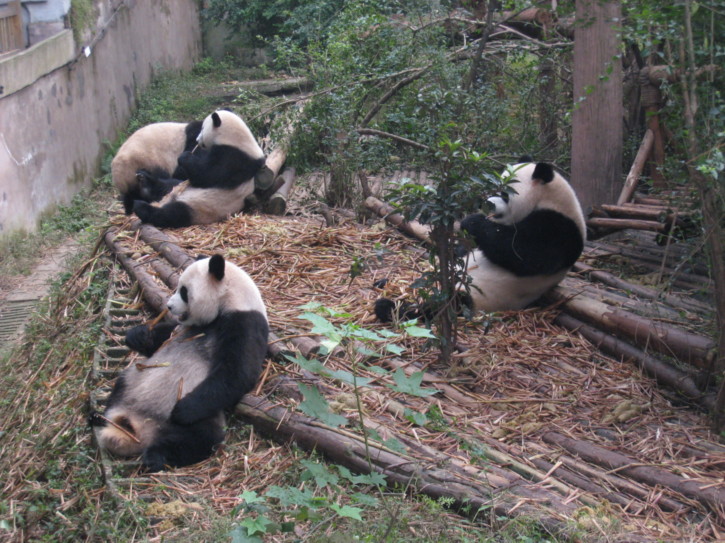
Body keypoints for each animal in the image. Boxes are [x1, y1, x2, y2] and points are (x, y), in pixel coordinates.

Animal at [89, 254, 269, 471]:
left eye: (184, 291)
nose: (168, 306)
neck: (230, 300)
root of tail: (139, 429)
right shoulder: (187, 326)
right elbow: (165, 335)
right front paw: (138, 335)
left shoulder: (244, 322)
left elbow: (238, 373)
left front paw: (181, 410)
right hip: (131, 381)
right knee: (120, 385)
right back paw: (98, 418)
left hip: (199, 418)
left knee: (201, 437)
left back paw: (157, 455)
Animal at [132, 110, 266, 228]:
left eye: (202, 129)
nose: (197, 140)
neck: (237, 139)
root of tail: (173, 198)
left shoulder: (236, 159)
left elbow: (208, 175)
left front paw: (185, 156)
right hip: (178, 189)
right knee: (167, 185)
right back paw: (145, 182)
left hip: (198, 209)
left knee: (173, 214)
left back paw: (141, 207)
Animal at [375, 161, 586, 320]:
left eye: (504, 194)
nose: (488, 203)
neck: (550, 199)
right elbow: (467, 249)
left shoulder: (560, 230)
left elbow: (525, 256)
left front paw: (472, 221)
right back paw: (383, 283)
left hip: (474, 295)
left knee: (444, 306)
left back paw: (390, 308)